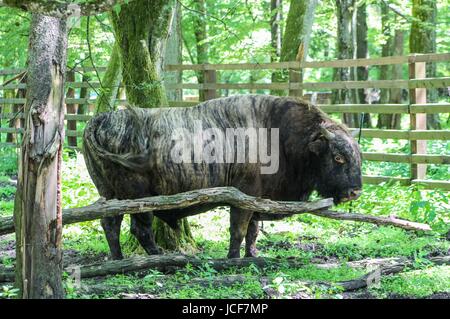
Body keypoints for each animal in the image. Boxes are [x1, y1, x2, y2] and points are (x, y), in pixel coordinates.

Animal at [81, 95, 362, 260]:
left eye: (358, 155)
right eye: (338, 157)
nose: (355, 192)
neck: (278, 135)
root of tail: (101, 119)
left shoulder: (257, 201)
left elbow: (252, 232)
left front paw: (251, 255)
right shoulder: (243, 198)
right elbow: (238, 230)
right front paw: (233, 258)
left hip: (111, 195)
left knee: (111, 225)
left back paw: (118, 258)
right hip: (138, 199)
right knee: (140, 229)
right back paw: (159, 257)